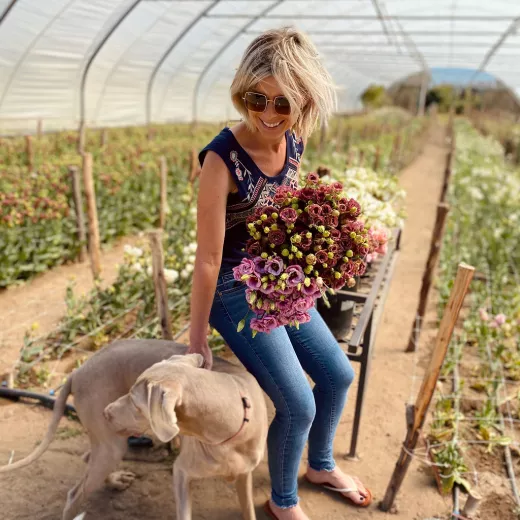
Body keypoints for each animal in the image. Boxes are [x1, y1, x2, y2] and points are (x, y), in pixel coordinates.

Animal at [0, 338, 268, 520]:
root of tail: (77, 371)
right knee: (73, 495)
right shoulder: (181, 472)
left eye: (136, 403)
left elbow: (248, 511)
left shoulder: (244, 475)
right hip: (111, 445)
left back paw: (115, 480)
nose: (107, 412)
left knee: (87, 457)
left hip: (108, 444)